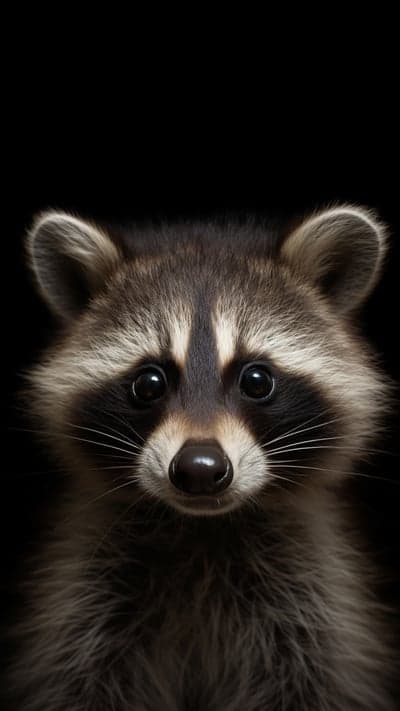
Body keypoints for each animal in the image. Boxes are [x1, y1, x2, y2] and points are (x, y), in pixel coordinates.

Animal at [7, 207, 397, 710]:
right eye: (149, 383)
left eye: (257, 380)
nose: (200, 469)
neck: (201, 529)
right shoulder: (83, 609)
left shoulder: (313, 610)